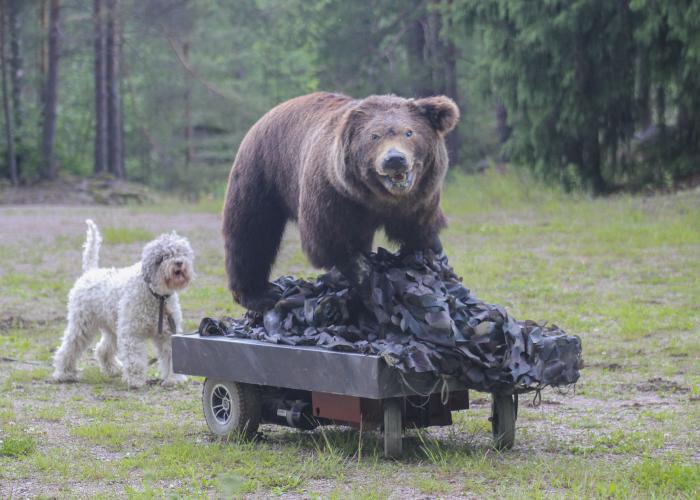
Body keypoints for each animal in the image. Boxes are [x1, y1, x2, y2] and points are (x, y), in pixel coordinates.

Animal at [52, 221, 196, 388]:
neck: (156, 296)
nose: (179, 263)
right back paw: (64, 374)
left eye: (182, 253)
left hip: (112, 328)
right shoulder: (132, 333)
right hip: (82, 325)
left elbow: (170, 356)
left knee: (102, 349)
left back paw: (112, 369)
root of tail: (90, 271)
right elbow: (134, 359)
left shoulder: (167, 334)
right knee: (68, 348)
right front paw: (135, 380)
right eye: (163, 257)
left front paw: (174, 379)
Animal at [223, 92, 460, 310]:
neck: (379, 199)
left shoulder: (418, 201)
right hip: (261, 172)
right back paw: (260, 294)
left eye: (409, 132)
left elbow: (421, 231)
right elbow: (329, 238)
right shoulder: (333, 196)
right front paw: (363, 272)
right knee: (251, 232)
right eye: (374, 136)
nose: (394, 159)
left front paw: (439, 262)